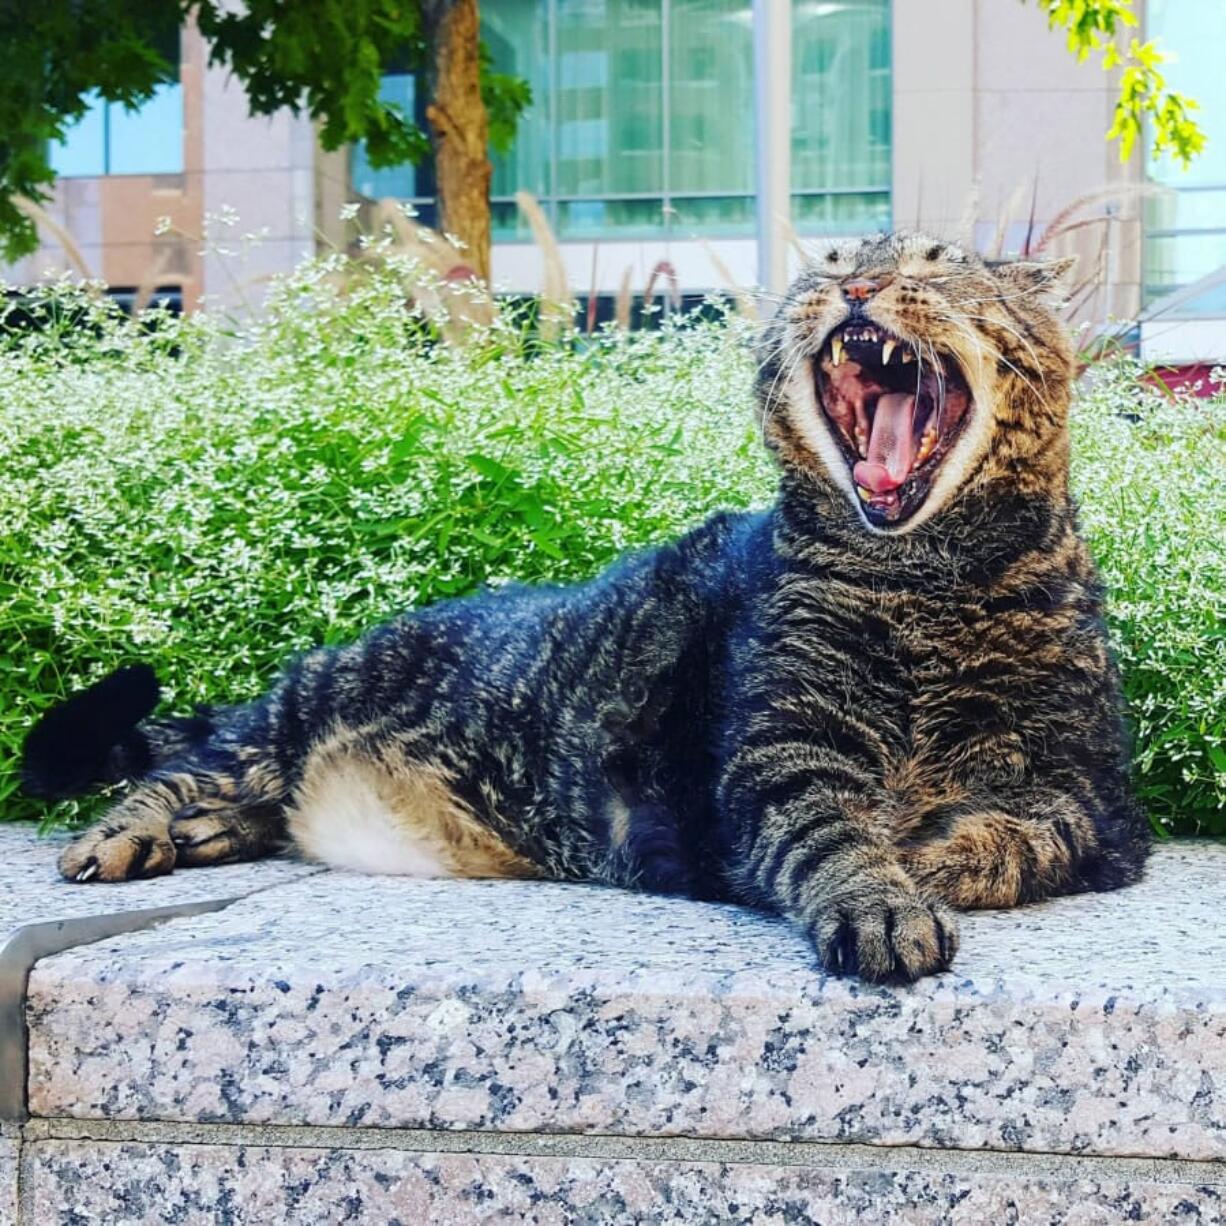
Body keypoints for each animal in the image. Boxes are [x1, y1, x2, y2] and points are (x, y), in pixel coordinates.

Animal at [23, 234, 1142, 985]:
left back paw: (210, 836)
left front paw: (928, 854)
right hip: (278, 725)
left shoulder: (1089, 794)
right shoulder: (776, 759)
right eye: (825, 263)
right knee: (178, 772)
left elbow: (1023, 837)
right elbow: (833, 833)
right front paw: (880, 892)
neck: (927, 588)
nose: (853, 283)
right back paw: (136, 835)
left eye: (937, 261)